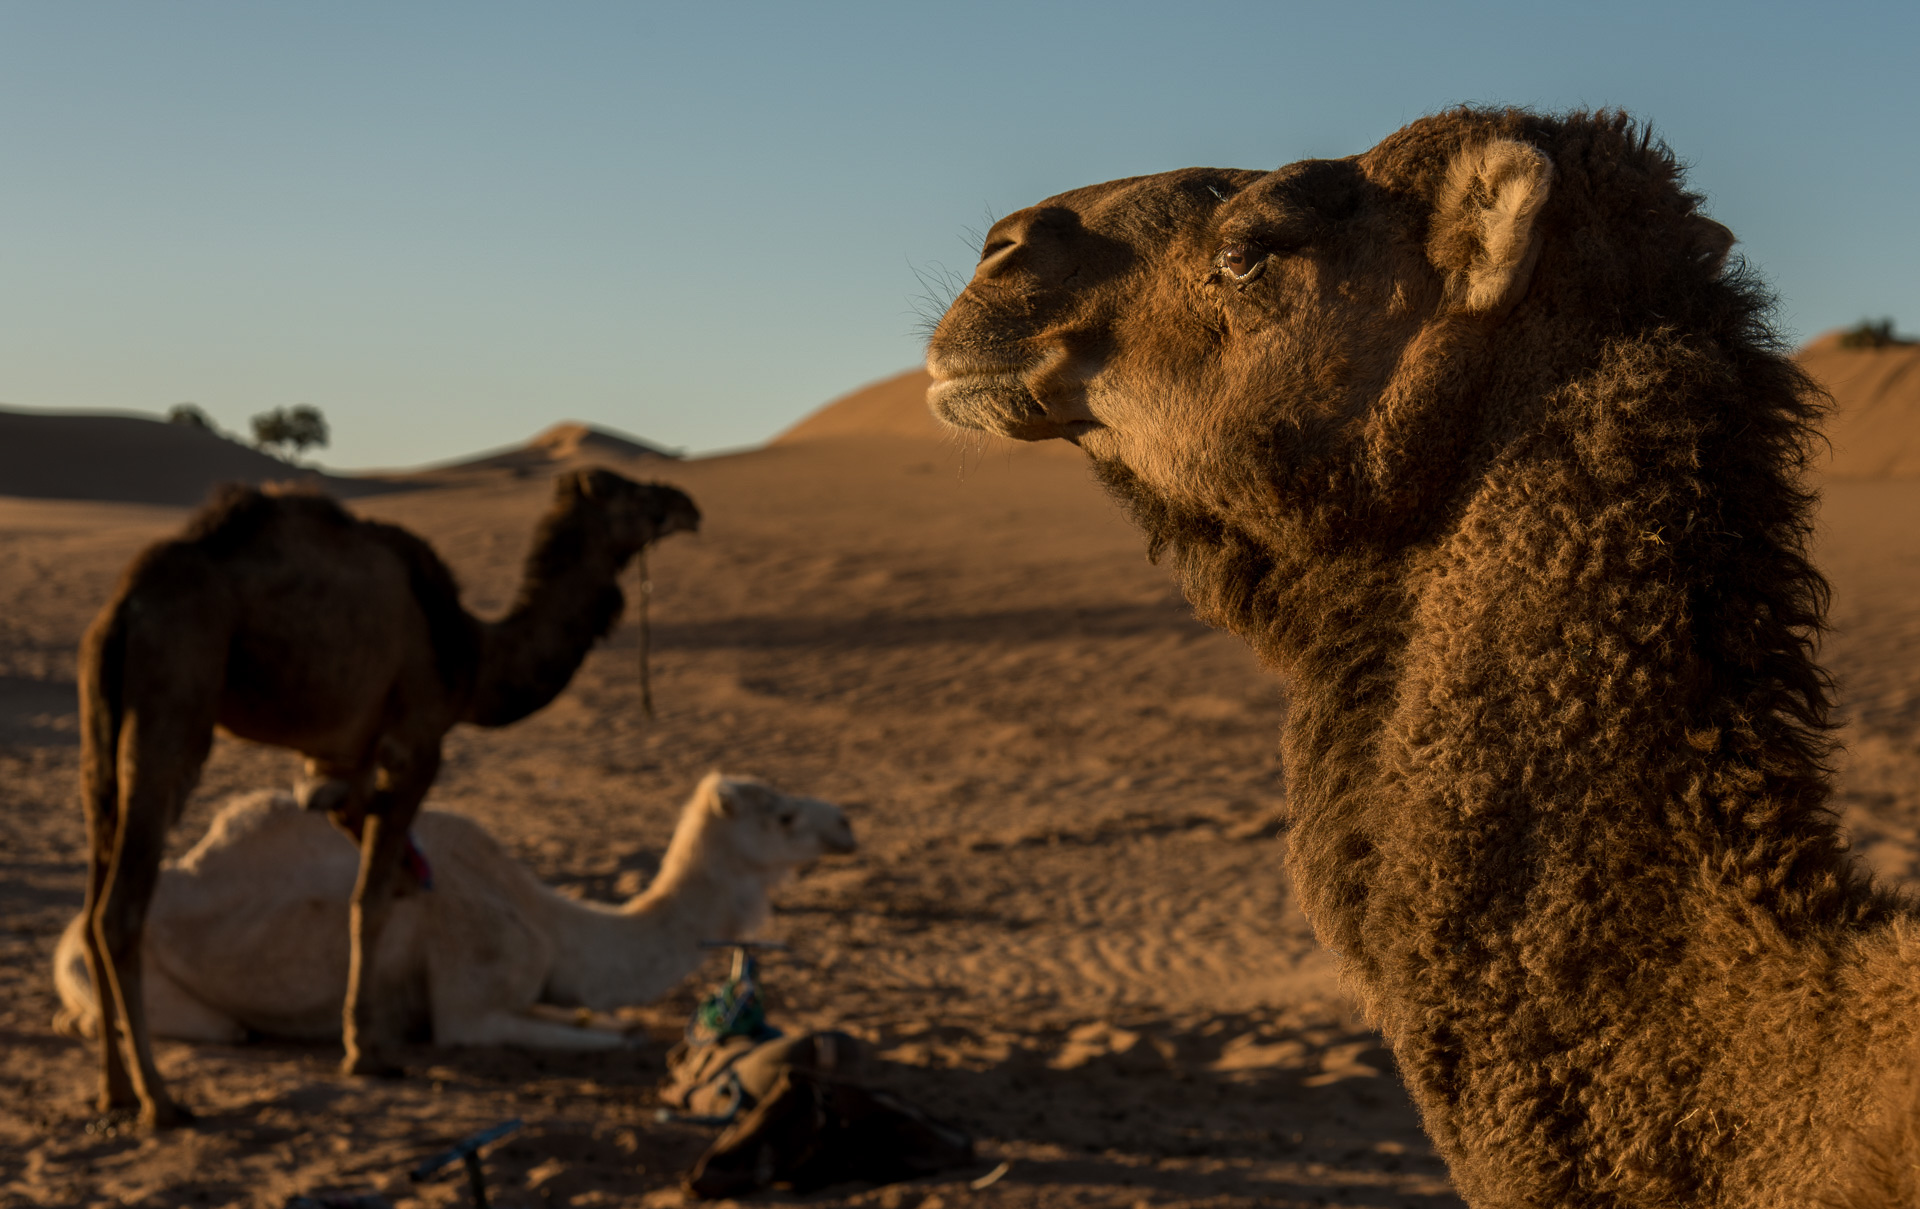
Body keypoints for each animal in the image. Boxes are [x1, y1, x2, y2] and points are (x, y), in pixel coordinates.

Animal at [52, 782, 856, 1059]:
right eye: (783, 814)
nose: (846, 822)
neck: (551, 921)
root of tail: (67, 934)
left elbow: (596, 1018)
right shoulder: (472, 997)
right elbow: (606, 1035)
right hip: (127, 976)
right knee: (220, 1027)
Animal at [82, 468, 702, 1136]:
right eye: (628, 492)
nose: (687, 505)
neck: (474, 656)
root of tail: (125, 607)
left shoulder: (340, 765)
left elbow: (375, 859)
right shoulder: (418, 743)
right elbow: (370, 900)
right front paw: (366, 1053)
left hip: (100, 731)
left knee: (92, 898)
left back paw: (114, 1091)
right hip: (174, 693)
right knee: (119, 909)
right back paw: (161, 1100)